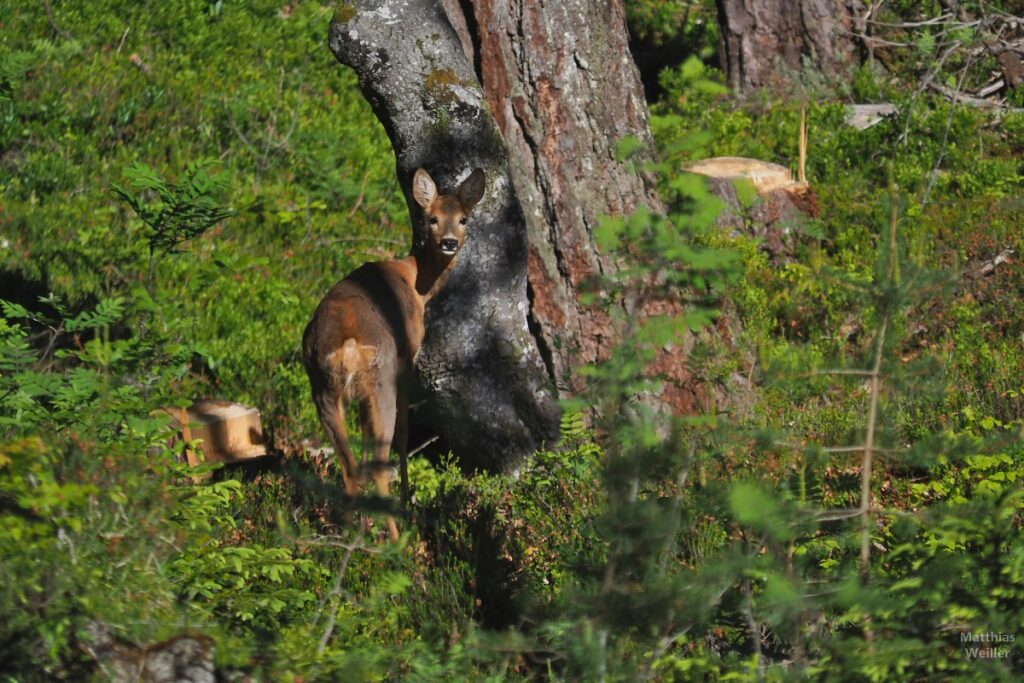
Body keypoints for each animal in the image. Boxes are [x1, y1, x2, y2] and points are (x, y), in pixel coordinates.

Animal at [301, 166, 485, 540]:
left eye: (462, 218)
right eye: (431, 218)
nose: (449, 242)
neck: (418, 284)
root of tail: (349, 346)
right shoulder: (407, 357)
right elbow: (403, 432)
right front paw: (407, 497)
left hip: (321, 387)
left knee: (349, 465)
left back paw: (346, 533)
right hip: (380, 378)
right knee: (379, 457)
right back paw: (397, 538)